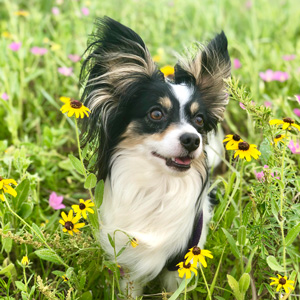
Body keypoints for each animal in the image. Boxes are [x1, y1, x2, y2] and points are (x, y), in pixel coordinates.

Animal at [79, 17, 230, 298]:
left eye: (199, 120)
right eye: (156, 114)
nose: (193, 140)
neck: (159, 186)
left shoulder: (181, 263)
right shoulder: (129, 263)